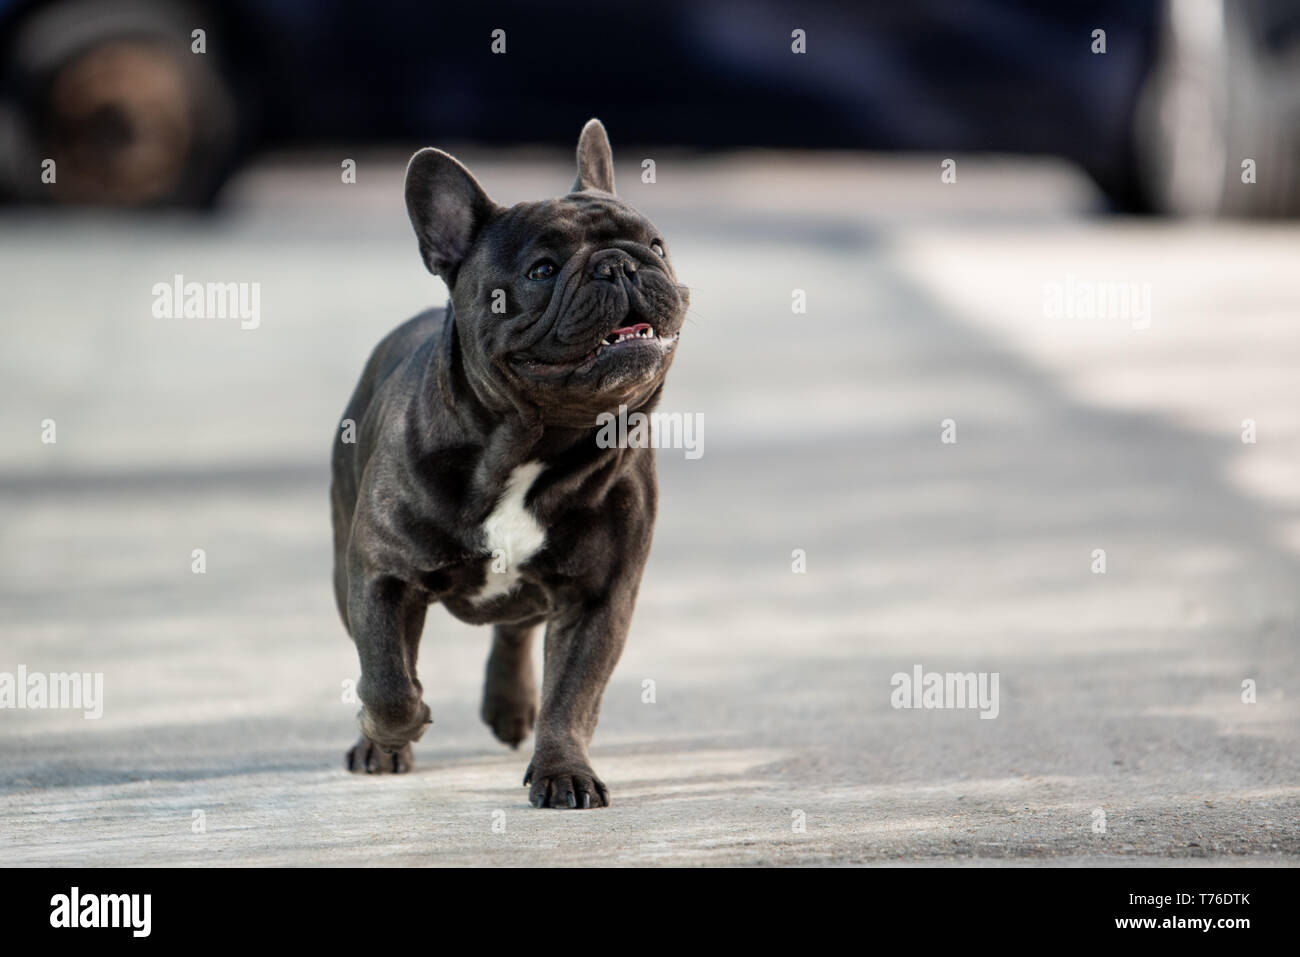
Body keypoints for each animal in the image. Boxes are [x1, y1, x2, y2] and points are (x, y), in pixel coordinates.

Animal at [330, 119, 686, 806]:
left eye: (658, 244)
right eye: (542, 270)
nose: (621, 263)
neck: (534, 442)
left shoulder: (599, 598)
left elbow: (572, 695)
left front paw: (564, 771)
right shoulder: (381, 573)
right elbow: (385, 678)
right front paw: (395, 729)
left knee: (518, 626)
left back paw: (509, 705)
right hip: (343, 569)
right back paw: (381, 745)